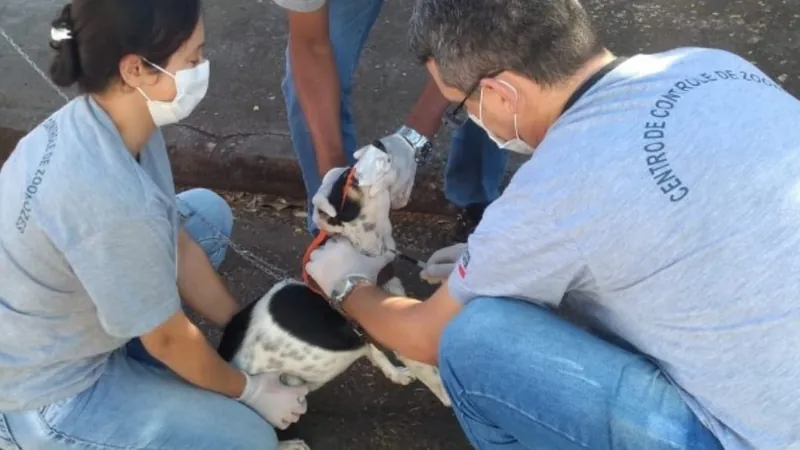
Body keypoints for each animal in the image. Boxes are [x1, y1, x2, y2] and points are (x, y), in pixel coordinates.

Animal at [217, 153, 450, 448]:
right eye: (351, 178)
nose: (380, 148)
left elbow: (377, 354)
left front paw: (395, 374)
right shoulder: (401, 336)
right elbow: (432, 375)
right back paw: (290, 443)